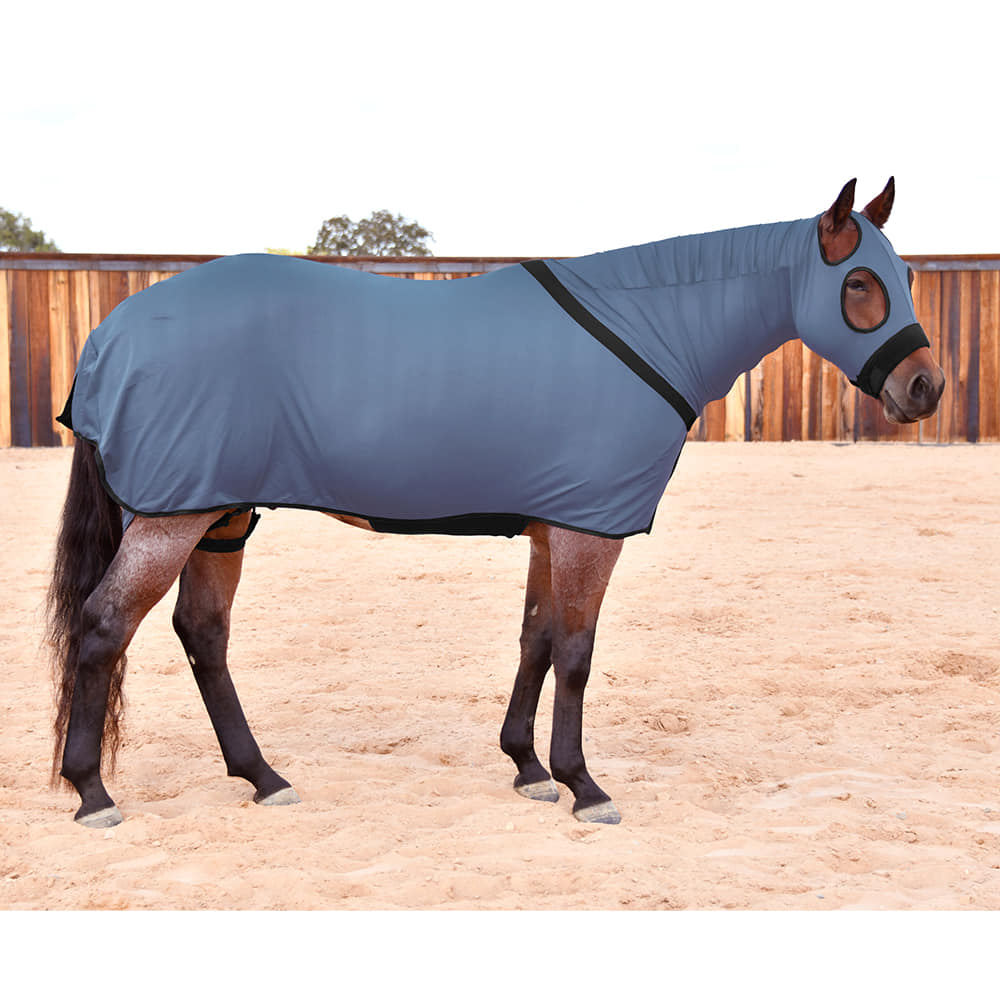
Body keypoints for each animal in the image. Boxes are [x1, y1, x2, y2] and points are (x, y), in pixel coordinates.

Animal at [47, 178, 944, 828]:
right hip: (174, 517)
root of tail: (112, 333)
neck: (648, 325)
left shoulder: (555, 527)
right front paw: (585, 786)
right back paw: (92, 793)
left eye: (903, 277)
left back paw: (264, 777)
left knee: (203, 634)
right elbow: (576, 654)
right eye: (859, 281)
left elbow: (536, 641)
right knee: (105, 626)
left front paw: (528, 768)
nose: (925, 388)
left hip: (222, 516)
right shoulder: (589, 532)